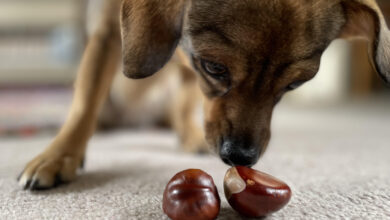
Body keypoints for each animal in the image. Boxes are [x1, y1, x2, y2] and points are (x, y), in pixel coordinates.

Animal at [19, 0, 390, 190]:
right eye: (214, 67)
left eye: (293, 85)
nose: (241, 157)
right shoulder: (106, 31)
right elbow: (85, 103)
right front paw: (59, 155)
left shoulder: (189, 73)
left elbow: (191, 103)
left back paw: (190, 134)